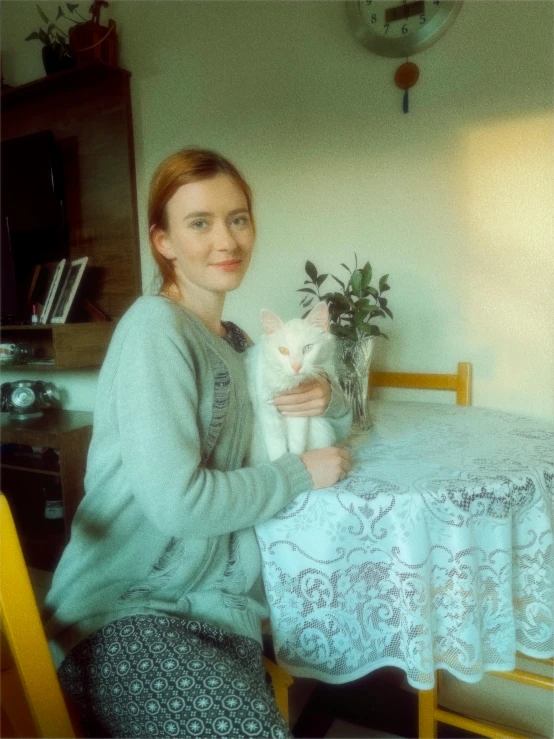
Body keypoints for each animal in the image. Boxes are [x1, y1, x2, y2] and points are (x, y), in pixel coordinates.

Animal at [247, 300, 336, 462]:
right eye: (283, 350)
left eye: (308, 348)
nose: (296, 366)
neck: (286, 384)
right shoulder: (268, 413)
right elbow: (276, 447)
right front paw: (280, 461)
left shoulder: (299, 413)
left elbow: (296, 443)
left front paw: (296, 457)